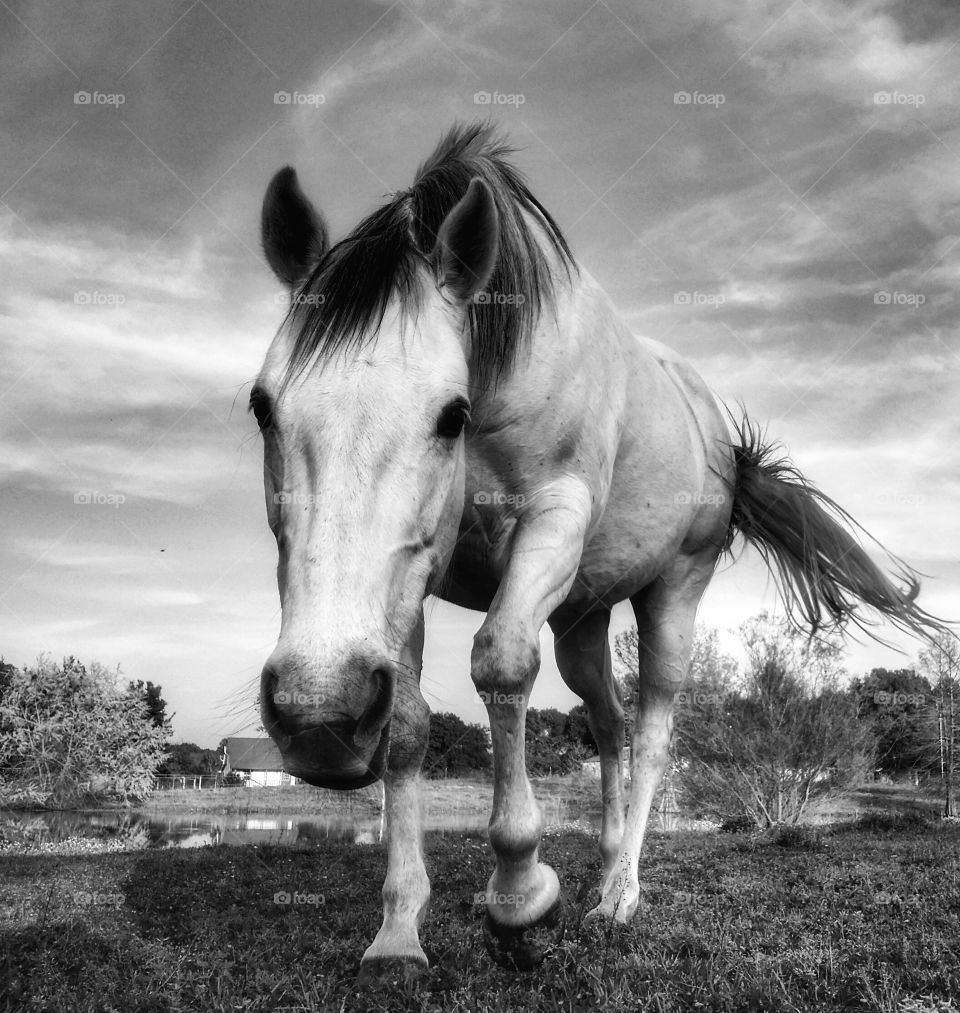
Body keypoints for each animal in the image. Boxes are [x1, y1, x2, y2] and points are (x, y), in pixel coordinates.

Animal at [249, 122, 943, 976]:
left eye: (451, 413)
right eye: (262, 406)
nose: (317, 712)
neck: (506, 362)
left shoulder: (551, 523)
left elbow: (500, 663)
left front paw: (519, 890)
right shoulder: (407, 584)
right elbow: (408, 724)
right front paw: (400, 928)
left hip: (672, 592)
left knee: (650, 731)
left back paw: (620, 892)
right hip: (580, 616)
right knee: (609, 722)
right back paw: (605, 863)